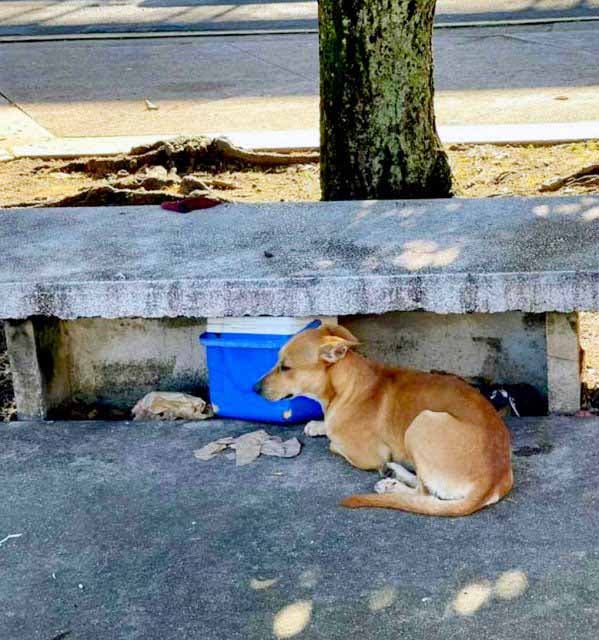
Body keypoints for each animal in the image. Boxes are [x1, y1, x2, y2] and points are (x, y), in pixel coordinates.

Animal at [255, 324, 512, 516]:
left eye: (285, 367)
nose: (254, 388)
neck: (348, 386)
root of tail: (492, 482)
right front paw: (318, 424)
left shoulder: (368, 456)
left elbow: (333, 443)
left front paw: (327, 430)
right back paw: (394, 471)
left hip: (422, 422)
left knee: (424, 493)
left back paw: (391, 484)